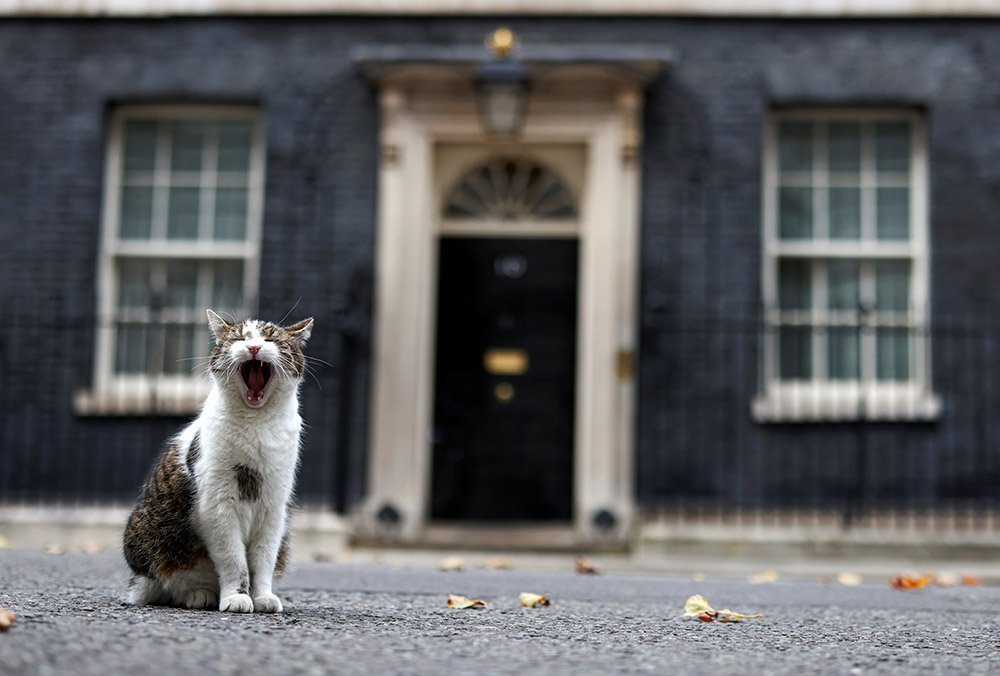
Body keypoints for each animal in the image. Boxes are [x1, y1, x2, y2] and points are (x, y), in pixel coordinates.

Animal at [124, 308, 312, 616]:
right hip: (150, 535)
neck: (256, 425)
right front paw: (237, 597)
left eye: (270, 338)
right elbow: (234, 561)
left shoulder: (274, 509)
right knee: (172, 584)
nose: (254, 347)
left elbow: (263, 561)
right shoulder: (217, 507)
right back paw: (200, 595)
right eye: (239, 338)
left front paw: (262, 597)